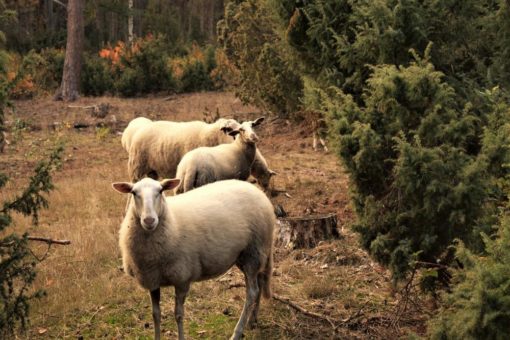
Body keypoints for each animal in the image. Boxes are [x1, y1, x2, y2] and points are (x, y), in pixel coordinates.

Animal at [112, 178, 274, 340]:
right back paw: (252, 321)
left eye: (160, 191)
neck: (171, 221)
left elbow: (178, 315)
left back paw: (237, 332)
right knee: (259, 284)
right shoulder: (153, 279)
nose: (149, 220)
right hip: (249, 255)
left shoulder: (182, 278)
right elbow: (155, 315)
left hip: (253, 252)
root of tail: (256, 190)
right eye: (134, 193)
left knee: (252, 292)